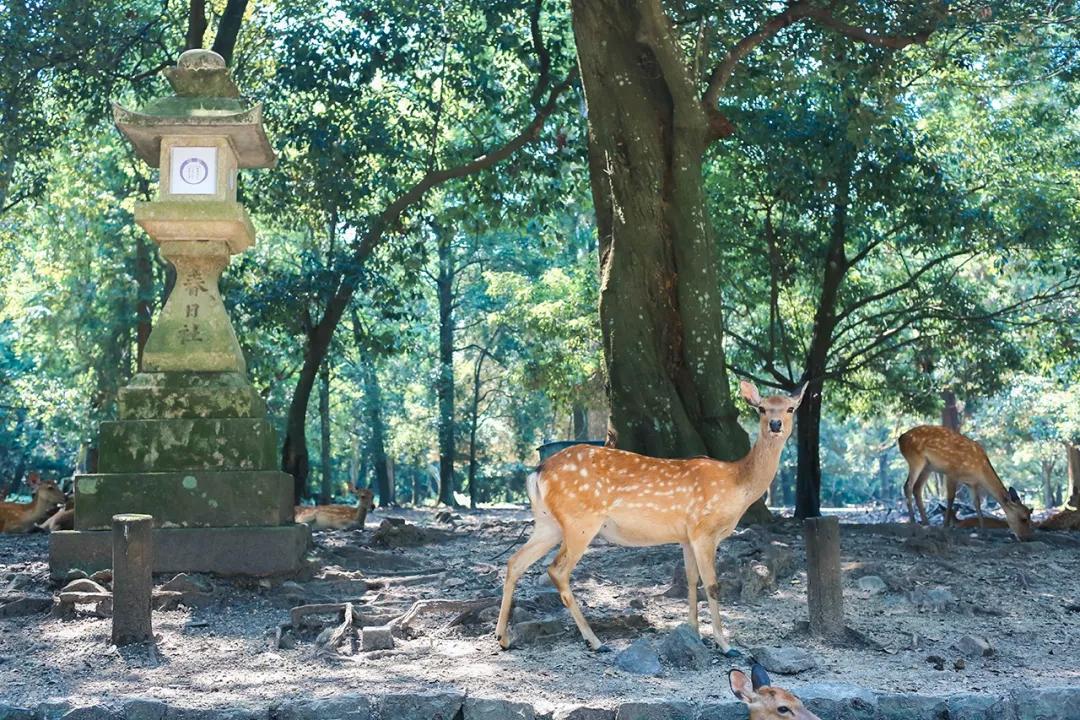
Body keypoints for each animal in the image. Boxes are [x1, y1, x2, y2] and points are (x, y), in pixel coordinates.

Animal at [494, 379, 807, 656]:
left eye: (790, 408)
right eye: (762, 408)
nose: (775, 424)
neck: (736, 485)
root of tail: (538, 471)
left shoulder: (687, 535)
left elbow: (691, 580)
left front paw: (693, 632)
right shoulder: (704, 530)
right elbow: (712, 584)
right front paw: (725, 644)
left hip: (548, 523)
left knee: (514, 562)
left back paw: (502, 638)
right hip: (580, 522)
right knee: (557, 570)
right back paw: (595, 641)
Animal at [898, 423, 1032, 539]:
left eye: (1030, 516)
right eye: (1023, 518)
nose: (1026, 538)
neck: (979, 469)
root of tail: (901, 438)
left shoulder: (972, 483)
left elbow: (977, 504)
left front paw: (984, 532)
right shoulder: (952, 472)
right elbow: (950, 498)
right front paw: (945, 526)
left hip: (928, 467)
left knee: (917, 488)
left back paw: (926, 523)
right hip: (916, 459)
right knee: (907, 486)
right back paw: (913, 521)